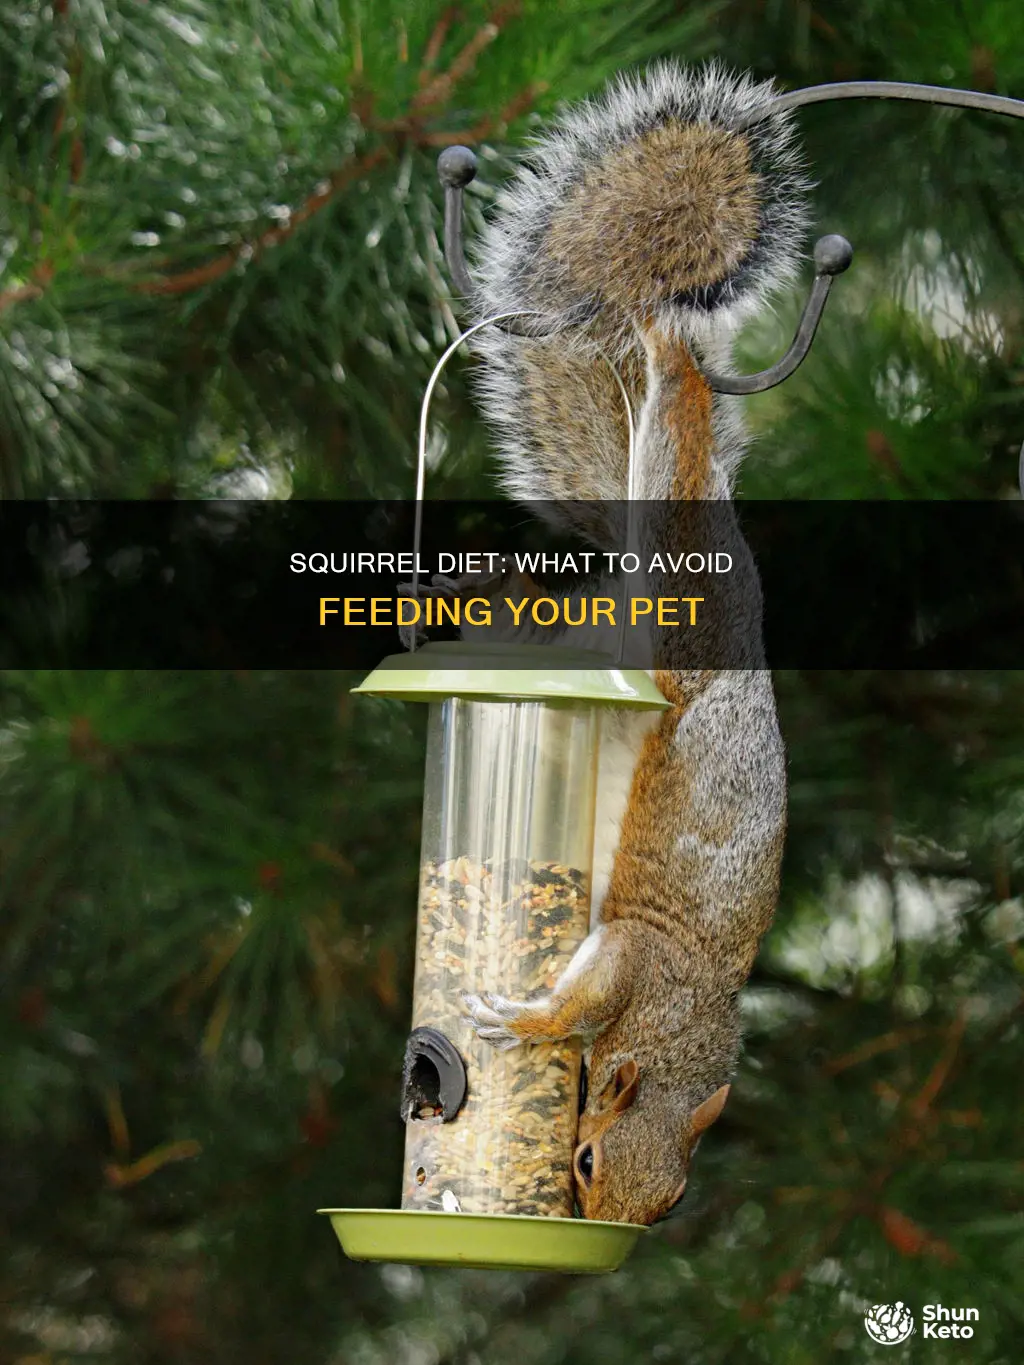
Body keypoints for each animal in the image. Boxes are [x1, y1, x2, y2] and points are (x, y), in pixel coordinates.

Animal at [423, 61, 801, 1225]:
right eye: (584, 1162)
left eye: (670, 1202)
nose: (618, 1238)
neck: (686, 1024)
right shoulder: (630, 953)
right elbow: (574, 1002)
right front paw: (527, 1022)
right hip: (678, 584)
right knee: (670, 405)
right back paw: (667, 343)